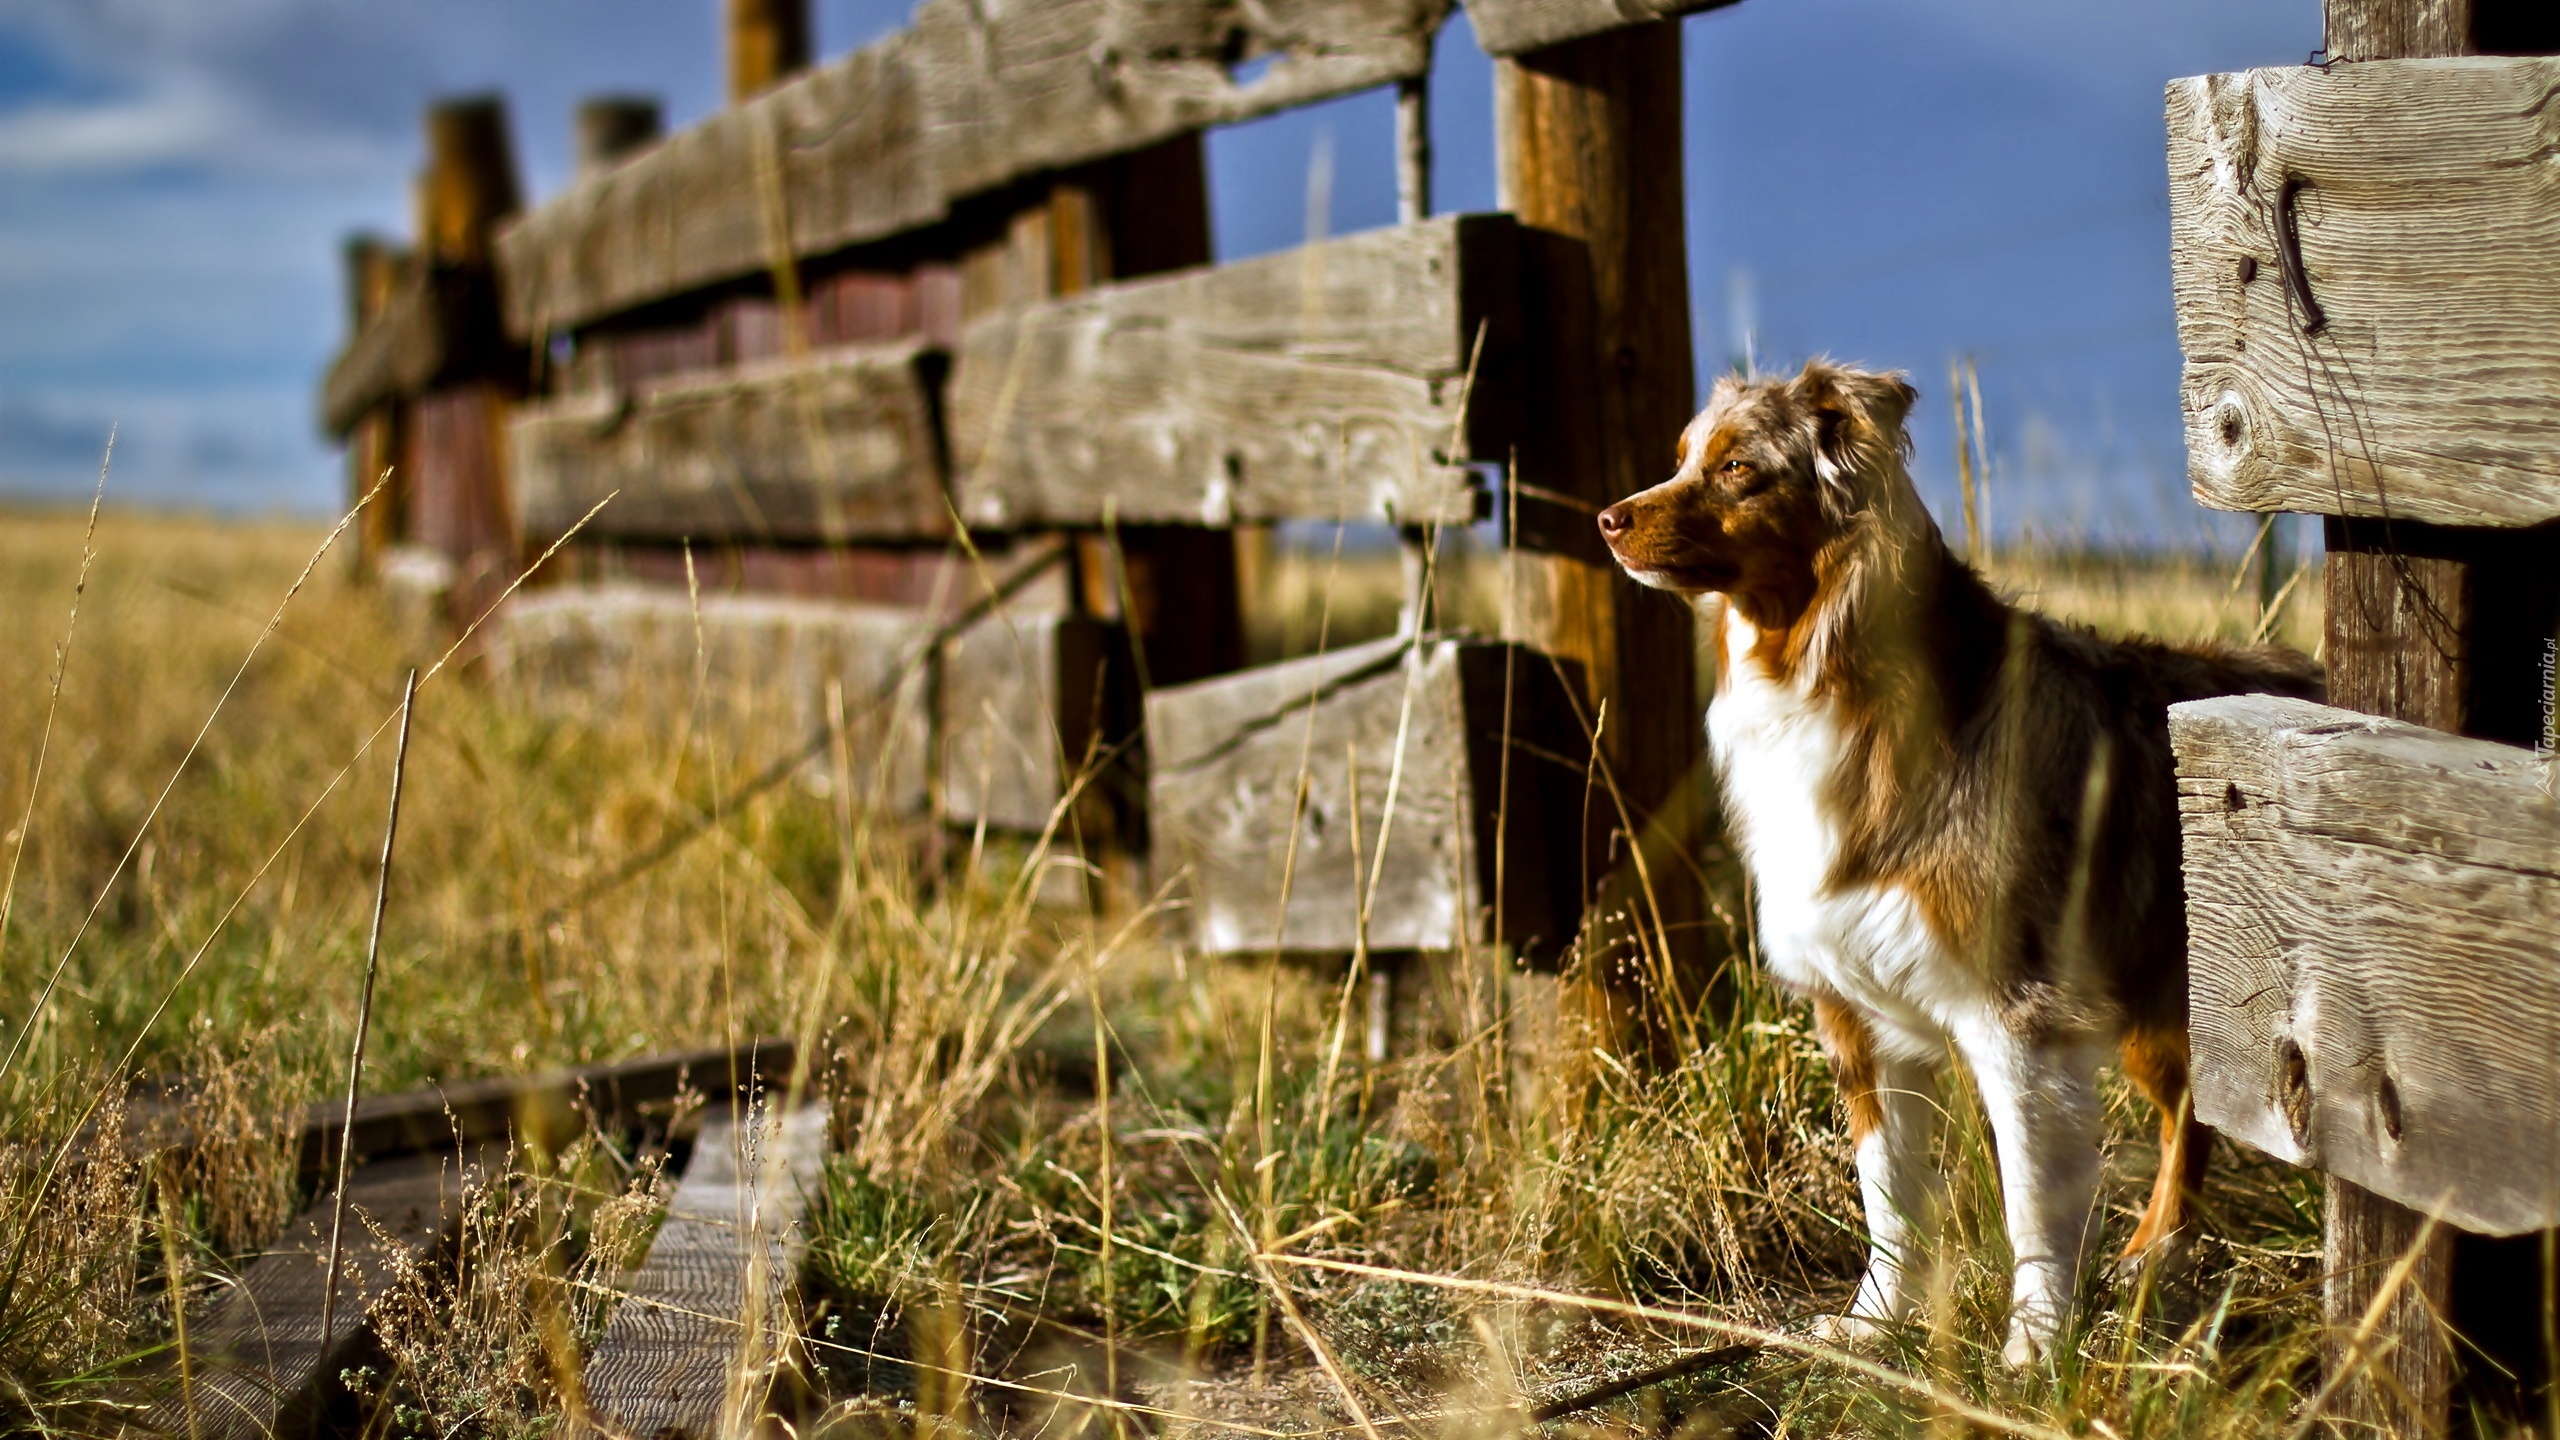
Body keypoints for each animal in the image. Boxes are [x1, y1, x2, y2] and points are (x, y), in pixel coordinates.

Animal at [1597, 356, 2324, 1352]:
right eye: (1679, 458)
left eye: (1739, 467)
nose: (1608, 518)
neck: (1821, 670)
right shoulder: (1857, 1018)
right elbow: (1888, 1194)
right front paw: (1873, 1325)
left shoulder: (2015, 1010)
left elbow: (2030, 1198)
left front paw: (2037, 1345)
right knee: (2191, 1117)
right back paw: (2151, 1259)